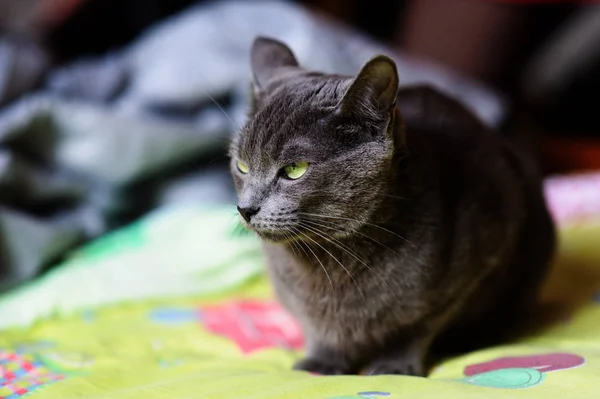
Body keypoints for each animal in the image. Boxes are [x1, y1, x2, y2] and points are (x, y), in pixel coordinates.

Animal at [229, 37, 552, 378]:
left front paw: (393, 367)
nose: (245, 208)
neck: (332, 259)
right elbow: (319, 329)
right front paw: (321, 364)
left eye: (294, 169)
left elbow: (415, 327)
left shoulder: (479, 259)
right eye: (242, 165)